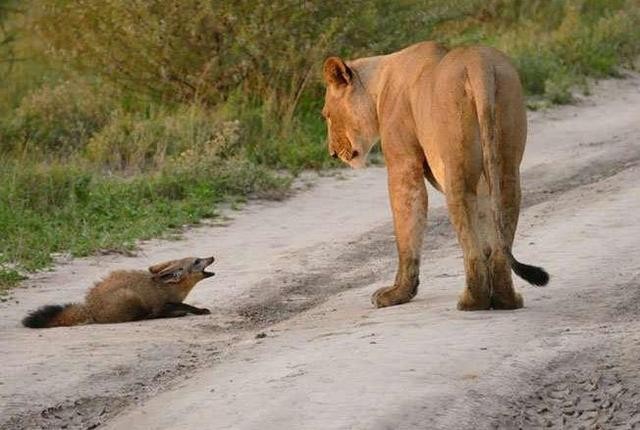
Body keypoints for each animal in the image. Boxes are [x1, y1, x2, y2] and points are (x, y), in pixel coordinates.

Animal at [22, 255, 215, 330]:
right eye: (197, 261)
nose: (212, 257)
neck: (171, 287)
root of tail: (89, 308)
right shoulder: (162, 303)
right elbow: (183, 305)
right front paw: (199, 310)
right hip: (130, 297)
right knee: (141, 317)